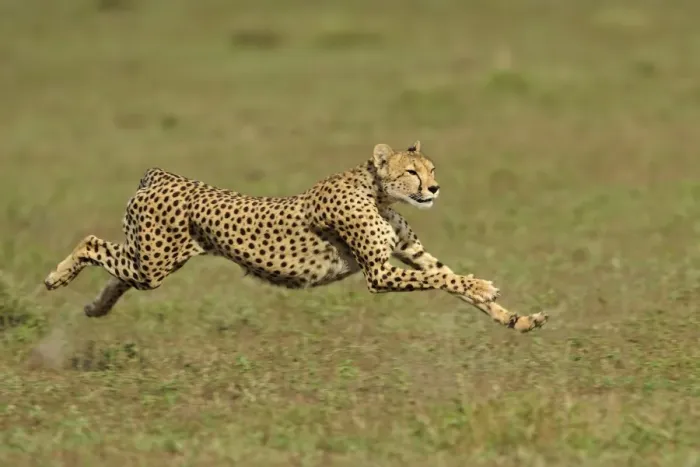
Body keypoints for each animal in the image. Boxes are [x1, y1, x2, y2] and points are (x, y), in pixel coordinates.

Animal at [44, 140, 548, 332]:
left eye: (432, 168)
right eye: (412, 172)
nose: (435, 188)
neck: (377, 192)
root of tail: (162, 175)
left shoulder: (412, 254)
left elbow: (448, 279)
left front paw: (517, 319)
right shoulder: (380, 274)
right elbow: (448, 280)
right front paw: (484, 285)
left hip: (149, 260)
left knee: (117, 273)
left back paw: (95, 307)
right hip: (154, 262)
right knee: (92, 243)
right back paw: (56, 278)